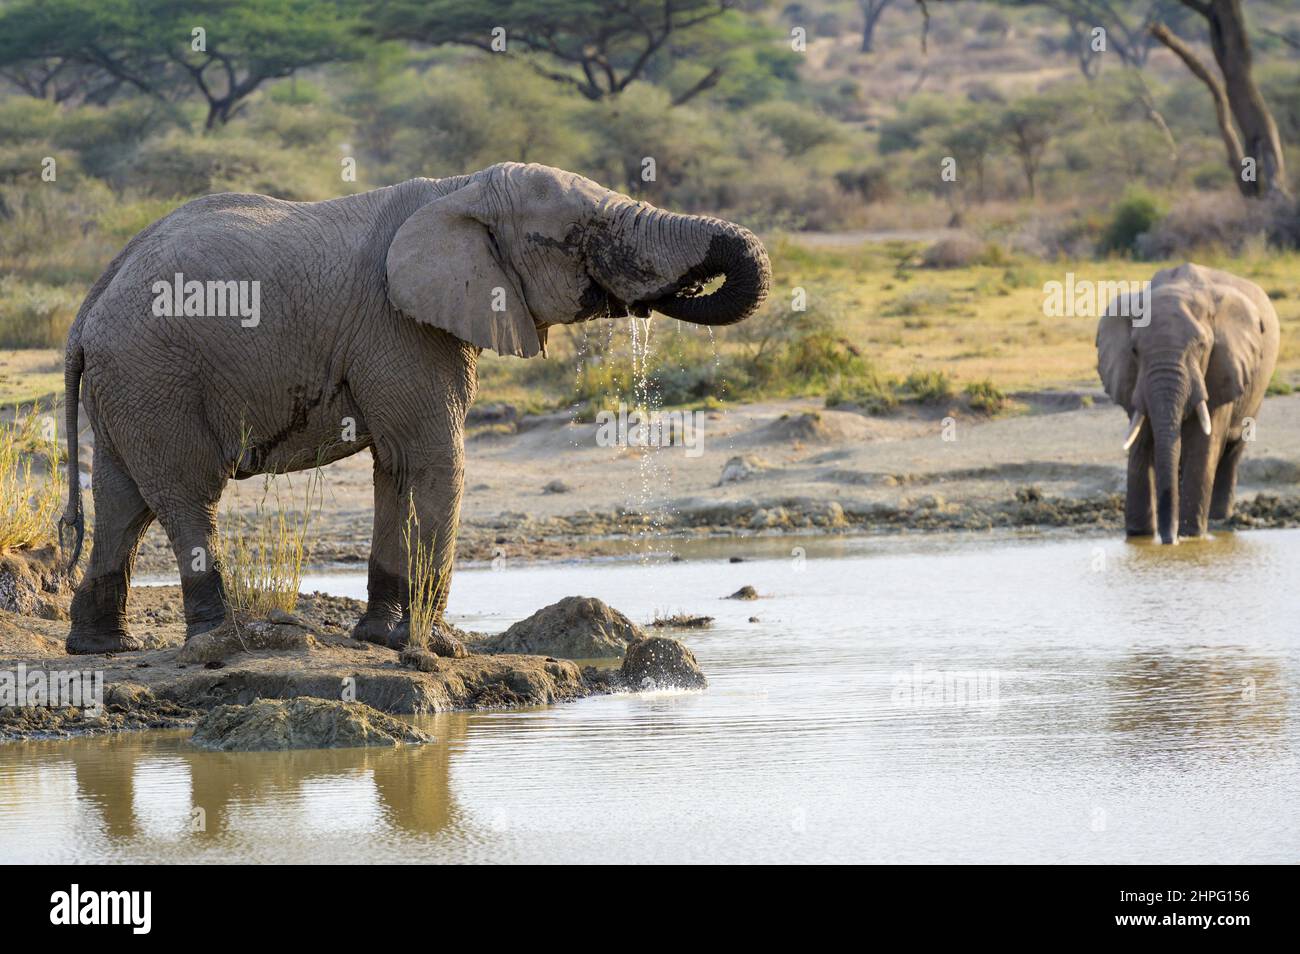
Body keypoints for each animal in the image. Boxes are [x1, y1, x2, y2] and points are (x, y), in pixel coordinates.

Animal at [63, 166, 769, 657]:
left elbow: (396, 468)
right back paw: (217, 642)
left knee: (124, 503)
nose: (680, 287)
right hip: (155, 373)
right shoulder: (399, 324)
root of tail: (91, 301)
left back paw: (103, 648)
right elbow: (434, 461)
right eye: (581, 237)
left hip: (127, 383)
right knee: (187, 495)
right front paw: (436, 649)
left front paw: (381, 638)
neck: (459, 190)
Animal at [1097, 261, 1279, 545]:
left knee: (1233, 449)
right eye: (1135, 350)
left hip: (1257, 389)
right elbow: (1142, 437)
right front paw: (1139, 537)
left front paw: (1191, 536)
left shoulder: (1222, 366)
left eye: (1202, 346)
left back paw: (1219, 520)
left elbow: (1204, 442)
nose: (1169, 540)